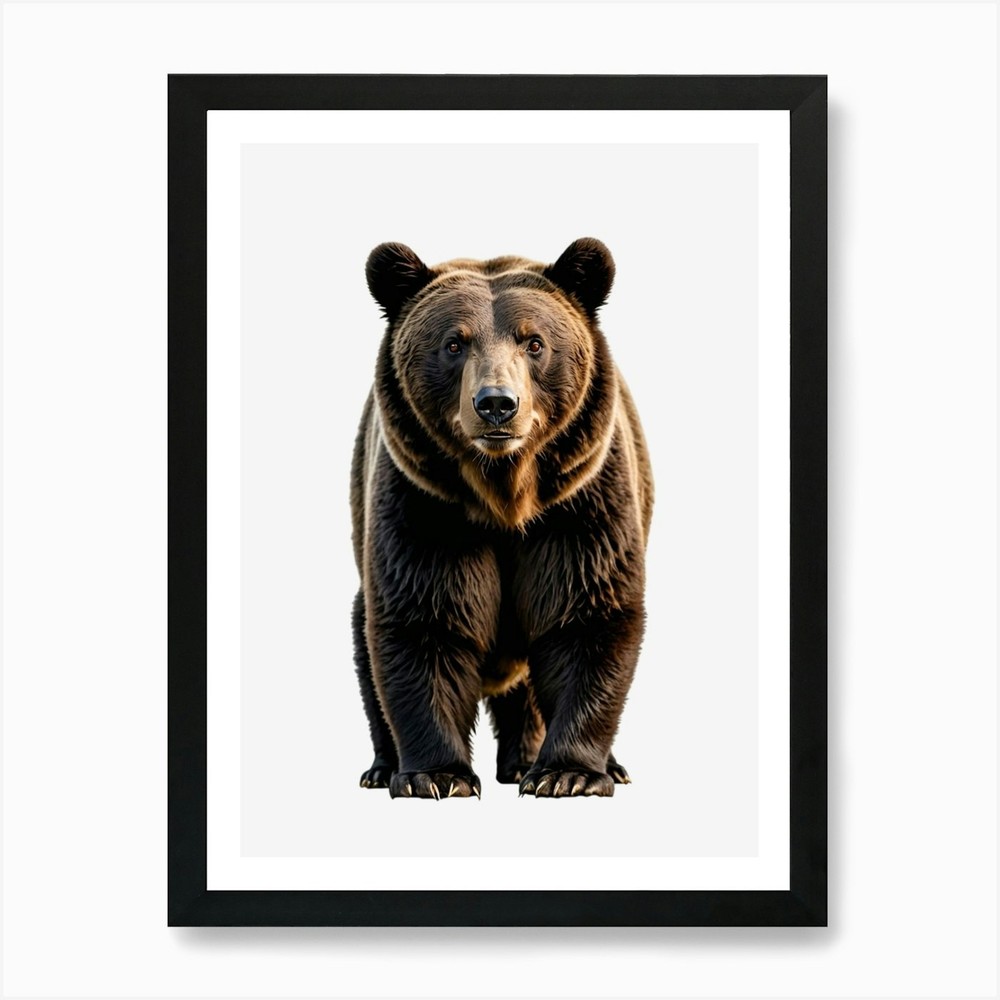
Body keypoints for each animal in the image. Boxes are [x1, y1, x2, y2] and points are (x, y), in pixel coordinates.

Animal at [351, 238, 653, 798]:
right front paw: (436, 775)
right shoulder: (425, 504)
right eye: (453, 343)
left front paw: (568, 773)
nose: (496, 404)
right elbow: (425, 617)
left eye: (534, 343)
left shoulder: (580, 503)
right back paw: (381, 767)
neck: (505, 496)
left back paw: (557, 763)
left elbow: (584, 613)